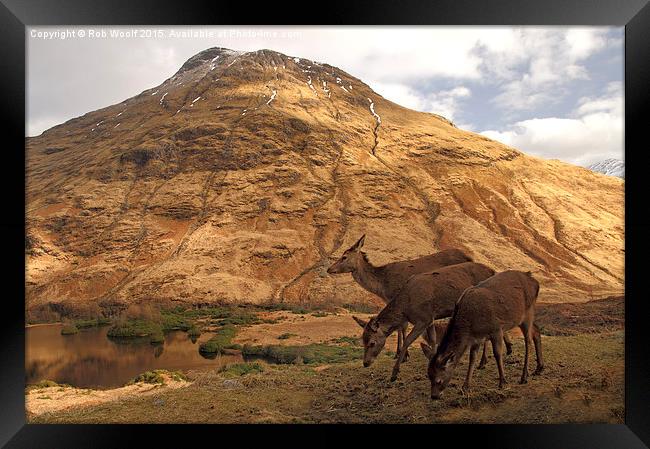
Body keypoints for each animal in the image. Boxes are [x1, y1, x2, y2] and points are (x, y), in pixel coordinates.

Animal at [326, 234, 474, 360]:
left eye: (344, 257)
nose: (329, 269)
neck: (383, 286)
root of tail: (469, 258)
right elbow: (400, 326)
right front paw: (400, 353)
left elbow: (402, 326)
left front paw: (402, 354)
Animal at [352, 260, 494, 380]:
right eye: (363, 341)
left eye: (372, 343)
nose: (365, 363)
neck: (406, 306)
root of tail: (492, 270)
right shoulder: (430, 318)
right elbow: (433, 340)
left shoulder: (423, 318)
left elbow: (408, 341)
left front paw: (394, 373)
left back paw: (482, 362)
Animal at [426, 270, 540, 400]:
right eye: (428, 376)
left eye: (439, 380)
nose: (434, 396)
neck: (470, 326)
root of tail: (536, 283)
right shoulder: (477, 338)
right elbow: (472, 358)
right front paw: (465, 387)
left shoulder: (496, 329)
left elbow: (497, 354)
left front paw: (502, 382)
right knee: (536, 331)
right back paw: (539, 368)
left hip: (527, 313)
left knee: (528, 341)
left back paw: (524, 376)